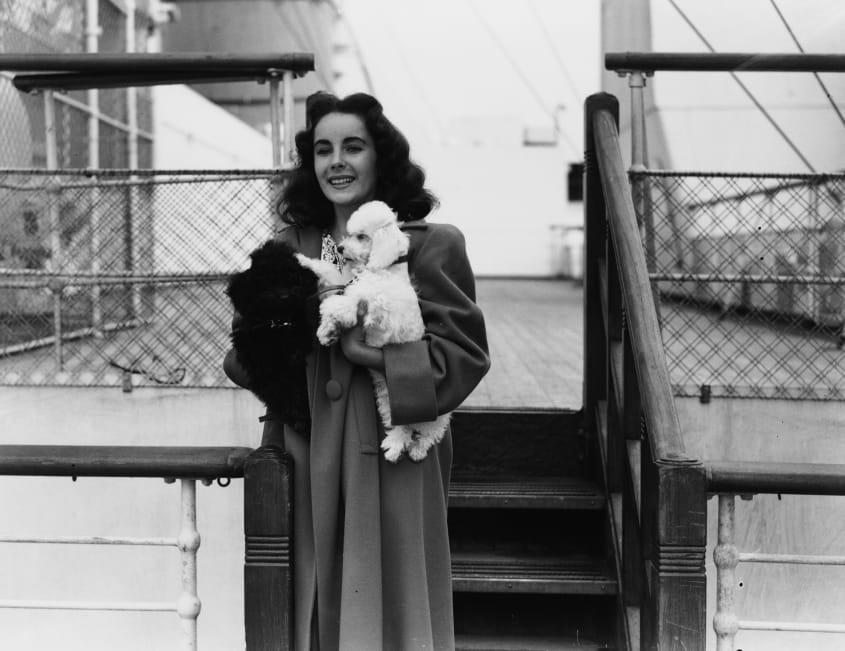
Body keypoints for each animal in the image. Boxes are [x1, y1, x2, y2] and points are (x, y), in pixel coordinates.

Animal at [224, 238, 316, 432]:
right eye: (266, 282)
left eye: (293, 278)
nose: (284, 296)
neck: (278, 324)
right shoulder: (259, 362)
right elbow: (277, 389)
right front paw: (297, 416)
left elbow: (297, 382)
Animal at [310, 201, 452, 460]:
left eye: (361, 236)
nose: (341, 248)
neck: (383, 270)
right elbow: (345, 292)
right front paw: (328, 331)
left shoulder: (384, 311)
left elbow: (354, 301)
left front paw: (332, 314)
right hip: (389, 401)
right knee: (402, 427)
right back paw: (396, 446)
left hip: (434, 416)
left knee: (428, 434)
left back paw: (415, 450)